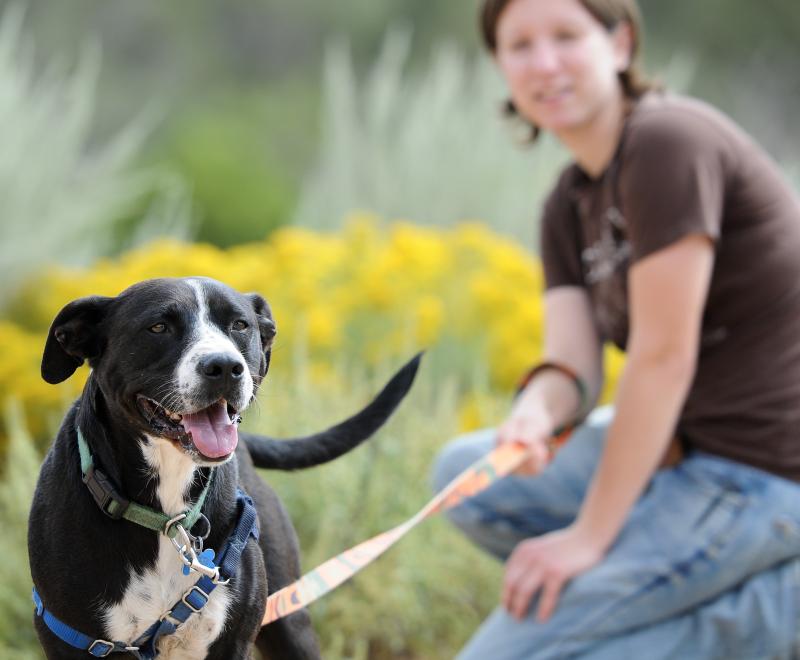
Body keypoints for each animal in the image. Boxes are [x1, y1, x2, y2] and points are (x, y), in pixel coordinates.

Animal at [28, 276, 422, 656]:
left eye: (240, 325)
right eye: (158, 327)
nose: (225, 367)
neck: (167, 514)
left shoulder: (234, 640)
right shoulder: (71, 639)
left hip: (291, 624)